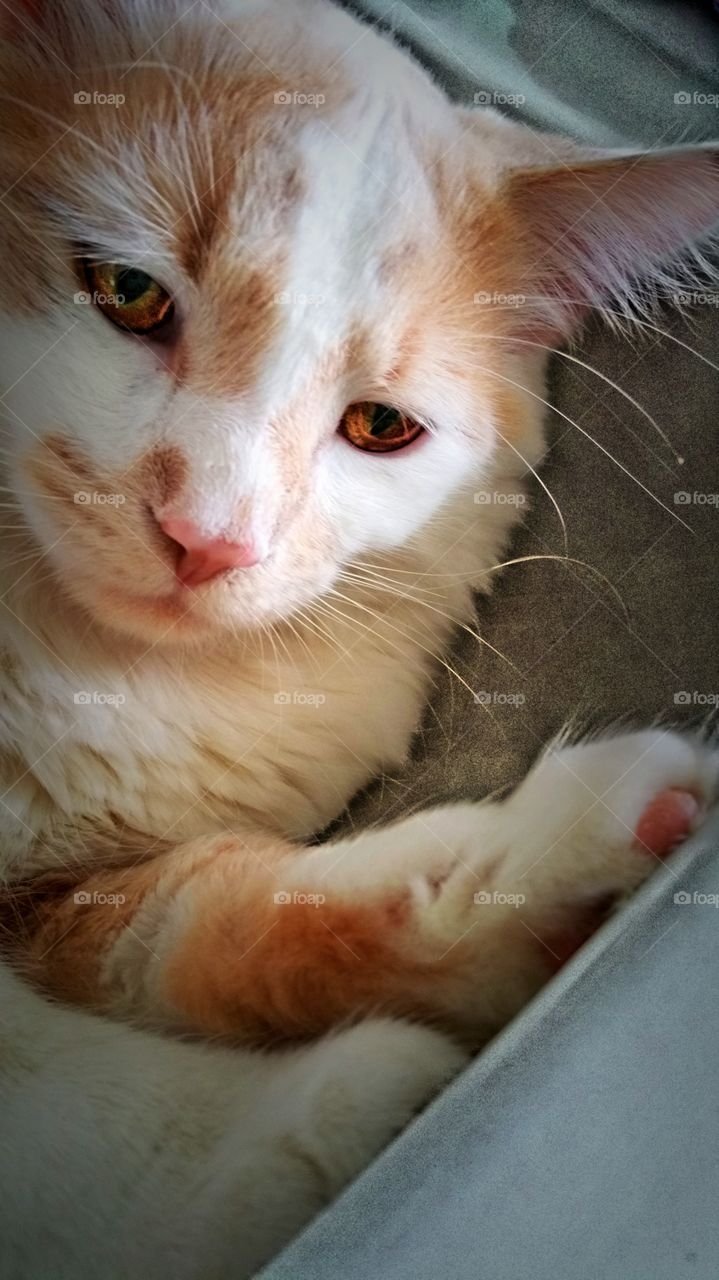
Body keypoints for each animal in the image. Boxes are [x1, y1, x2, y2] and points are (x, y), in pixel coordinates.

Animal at [1, 0, 716, 1274]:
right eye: (126, 291)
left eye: (379, 427)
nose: (208, 537)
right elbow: (38, 1073)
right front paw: (251, 1157)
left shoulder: (62, 896)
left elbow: (197, 916)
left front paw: (509, 891)